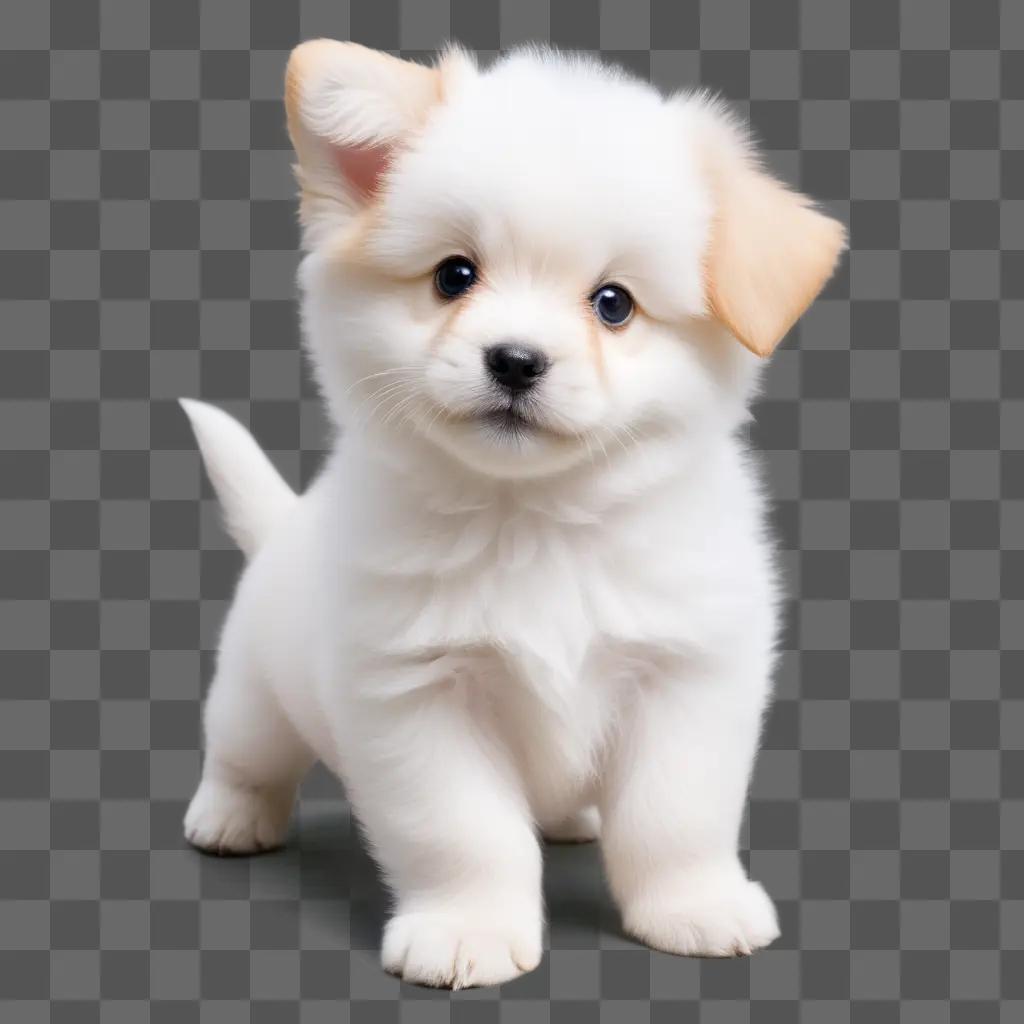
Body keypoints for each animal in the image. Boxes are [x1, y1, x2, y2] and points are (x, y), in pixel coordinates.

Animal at [180, 44, 843, 987]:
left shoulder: (689, 677)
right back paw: (231, 817)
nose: (517, 360)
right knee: (245, 754)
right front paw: (467, 930)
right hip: (254, 694)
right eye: (455, 276)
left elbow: (676, 816)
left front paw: (695, 905)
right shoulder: (417, 697)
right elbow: (464, 833)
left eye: (614, 304)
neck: (537, 519)